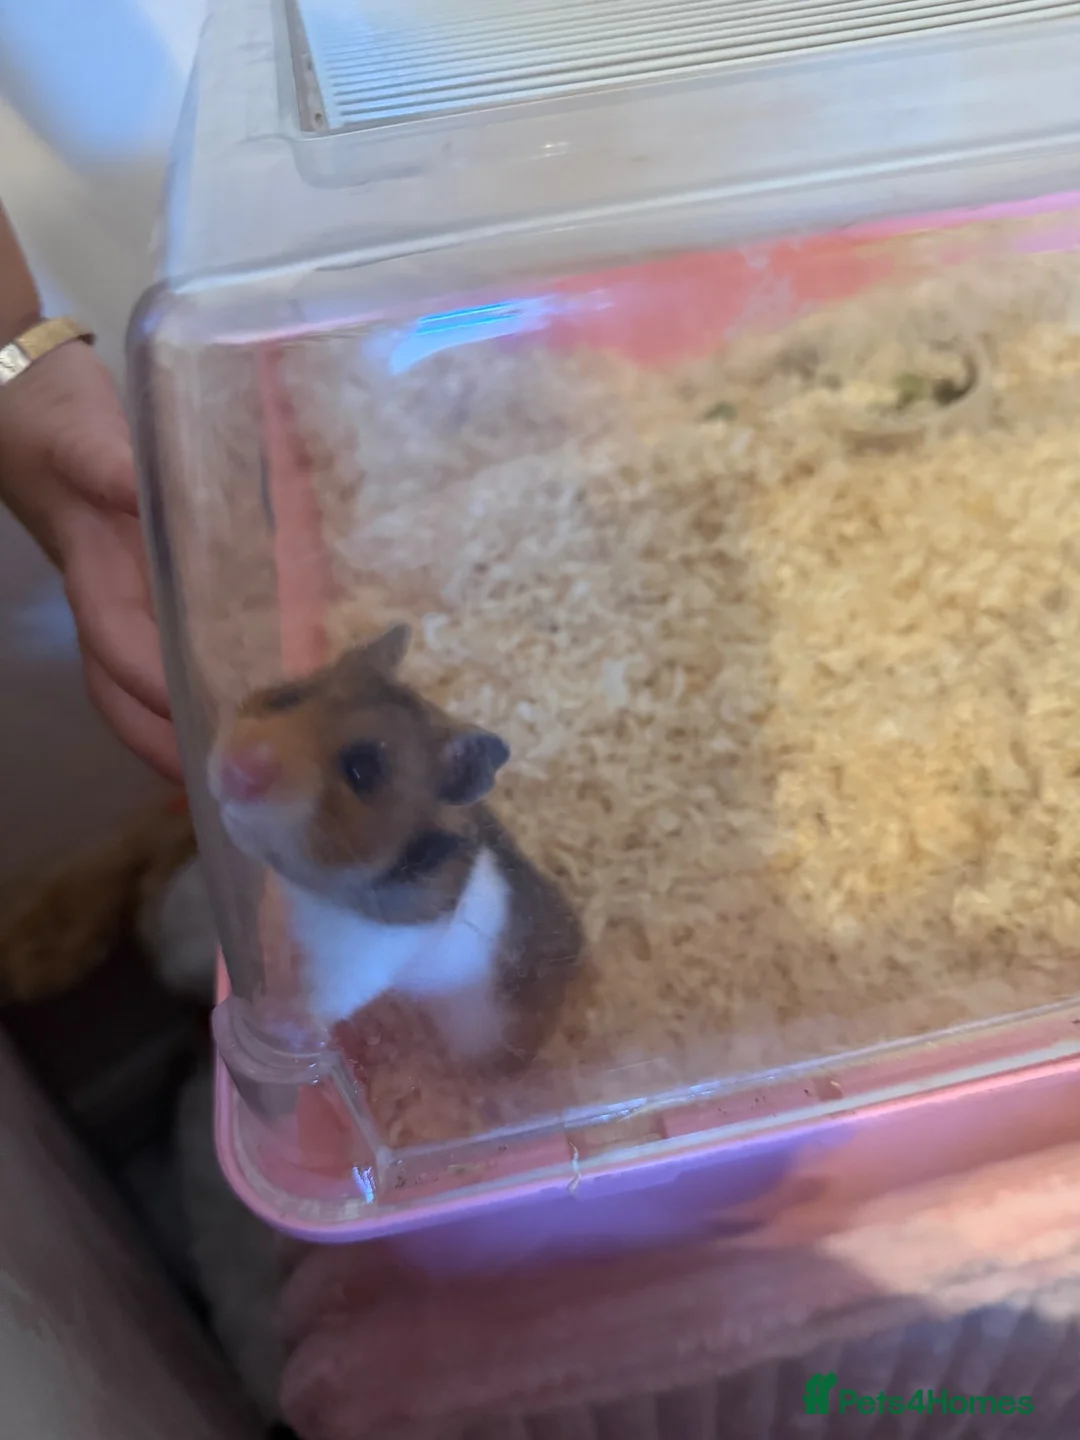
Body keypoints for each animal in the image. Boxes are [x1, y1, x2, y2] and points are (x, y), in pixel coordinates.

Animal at [207, 624, 583, 1070]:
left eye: (362, 770)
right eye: (287, 698)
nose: (237, 768)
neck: (316, 886)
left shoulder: (364, 955)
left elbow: (323, 999)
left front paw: (275, 1018)